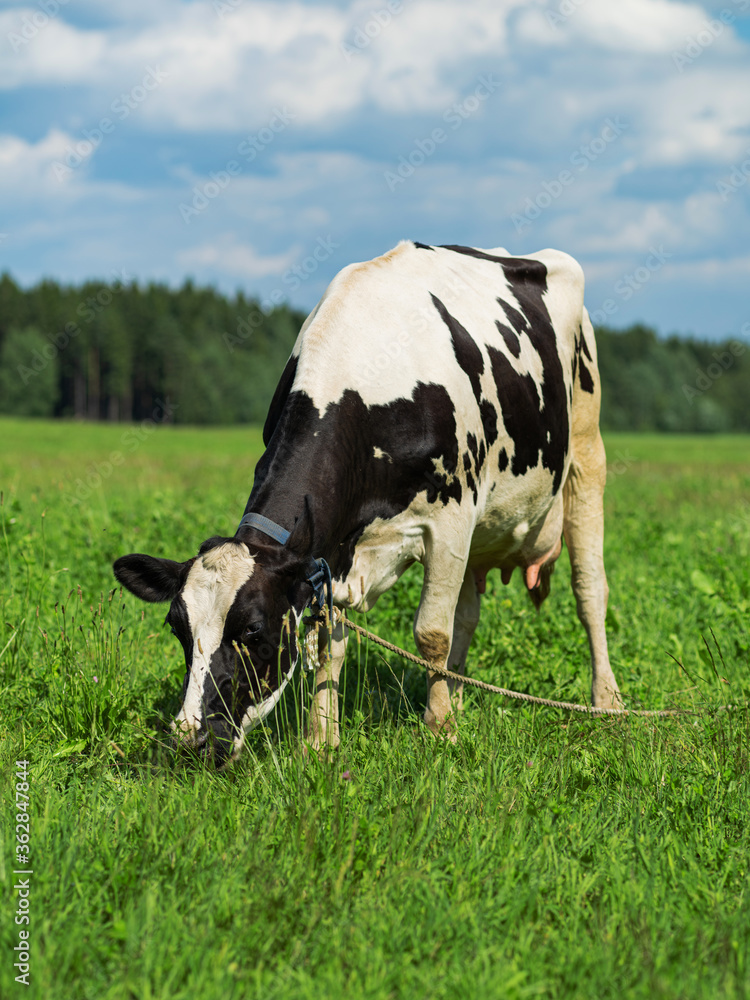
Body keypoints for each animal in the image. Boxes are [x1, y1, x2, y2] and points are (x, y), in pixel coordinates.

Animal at [113, 240, 623, 765]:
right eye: (178, 628)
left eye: (253, 630)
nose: (190, 740)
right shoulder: (331, 547)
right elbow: (328, 642)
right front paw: (321, 741)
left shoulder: (452, 517)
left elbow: (431, 633)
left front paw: (439, 731)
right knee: (467, 610)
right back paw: (458, 697)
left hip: (586, 453)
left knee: (589, 591)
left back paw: (606, 702)